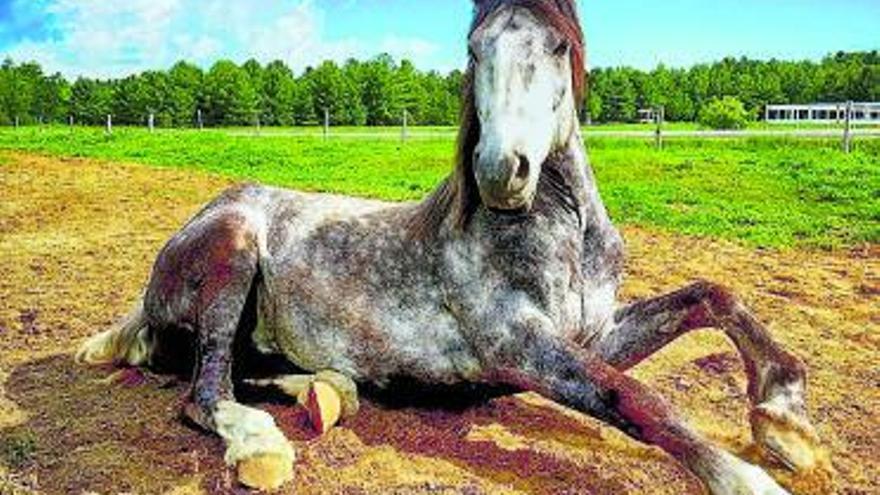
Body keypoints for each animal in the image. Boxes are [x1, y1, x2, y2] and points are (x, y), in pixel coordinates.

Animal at [75, 0, 824, 492]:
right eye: (474, 49)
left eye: (558, 46)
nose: (501, 171)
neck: (565, 234)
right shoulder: (520, 346)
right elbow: (636, 398)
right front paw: (746, 477)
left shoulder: (594, 334)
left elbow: (711, 296)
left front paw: (785, 420)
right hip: (233, 249)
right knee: (206, 388)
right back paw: (262, 444)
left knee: (247, 369)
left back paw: (326, 390)